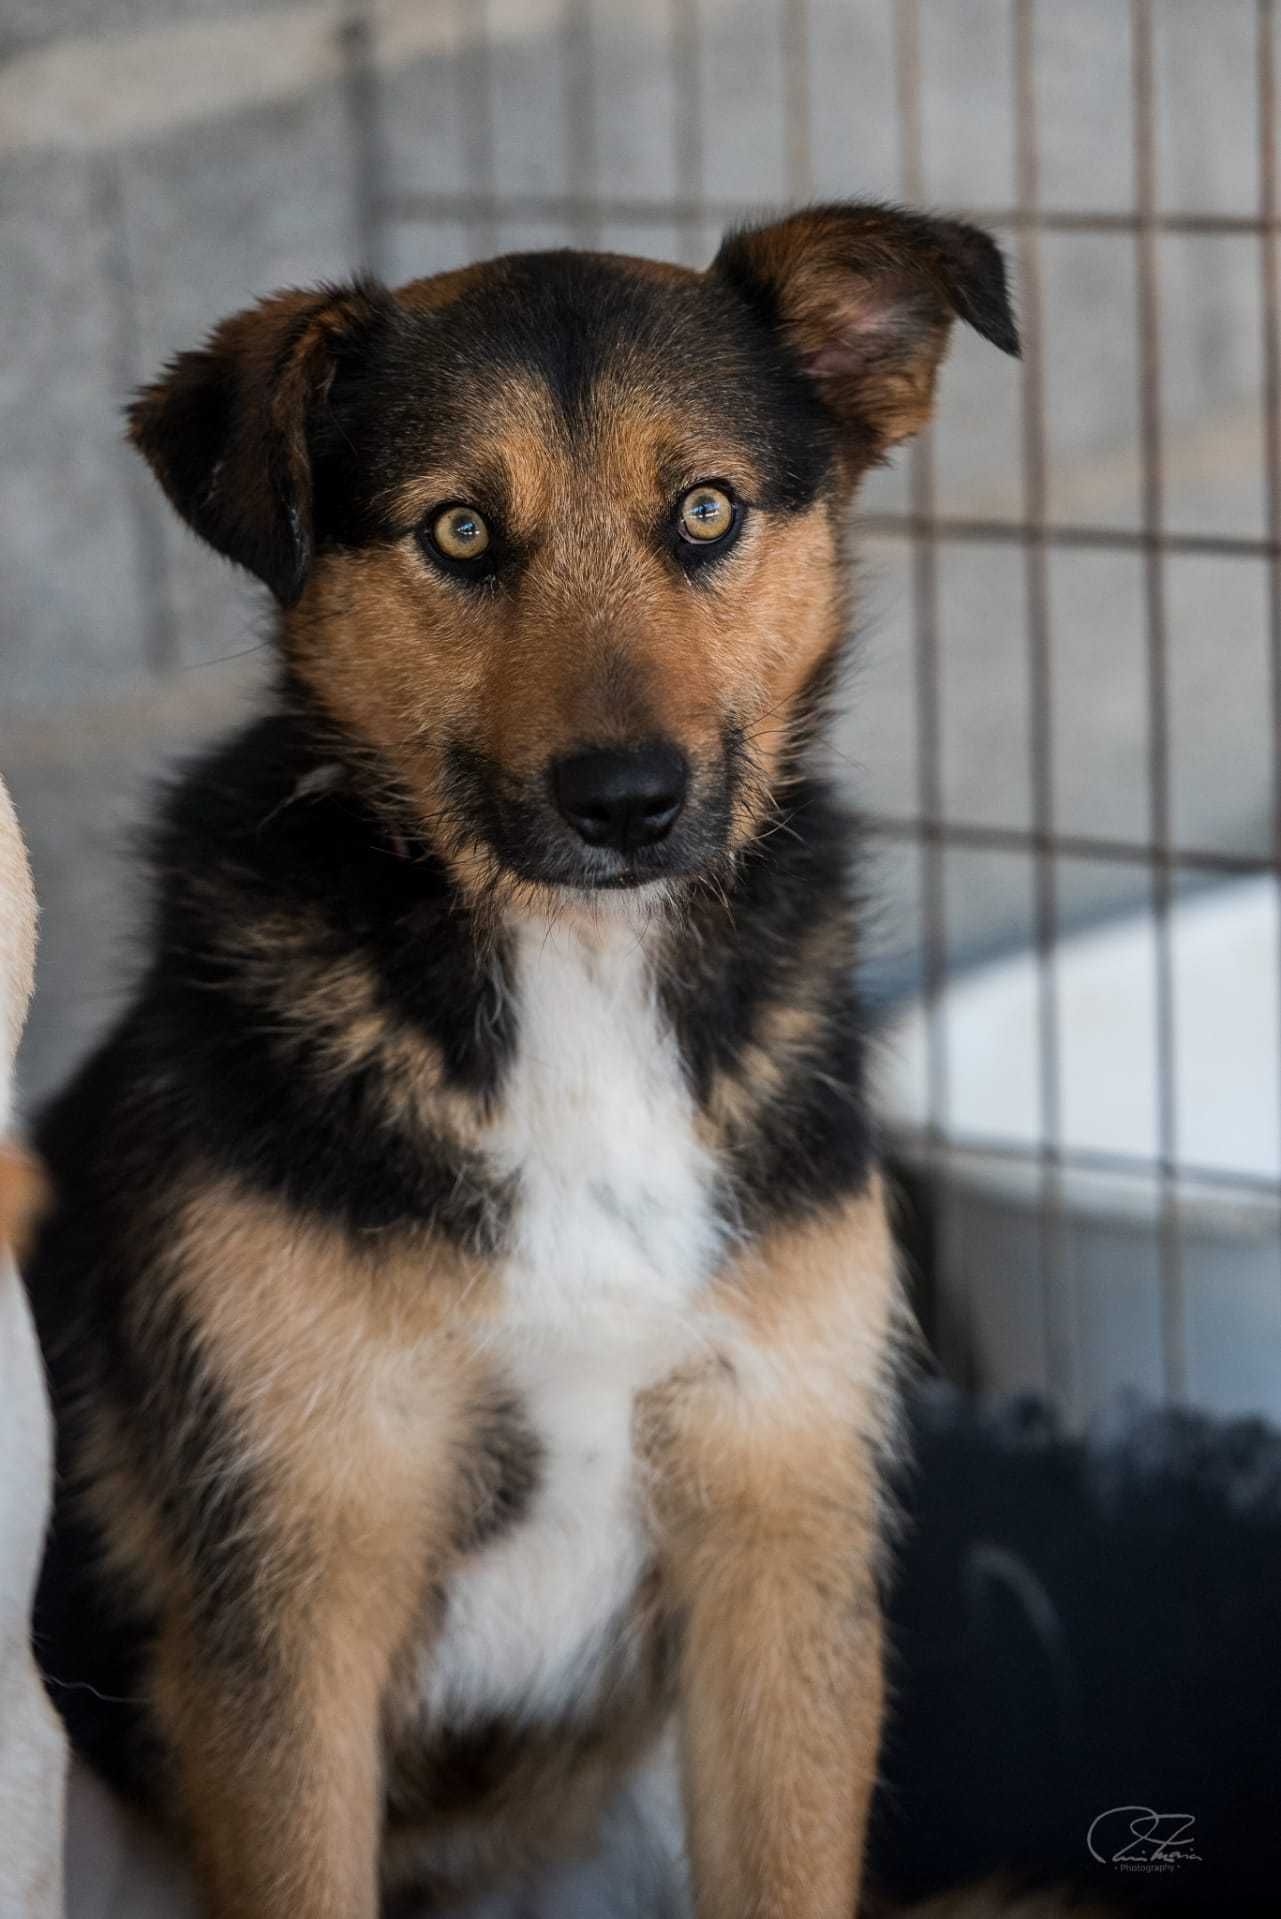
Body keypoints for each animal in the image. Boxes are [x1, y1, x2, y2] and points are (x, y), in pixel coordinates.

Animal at [29, 202, 1020, 1911]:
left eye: (705, 510)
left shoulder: (781, 1550)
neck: (576, 976)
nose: (626, 800)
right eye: (458, 535)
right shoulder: (287, 1604)